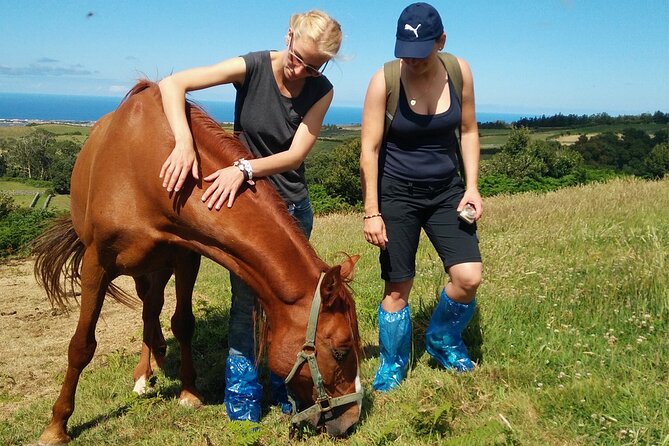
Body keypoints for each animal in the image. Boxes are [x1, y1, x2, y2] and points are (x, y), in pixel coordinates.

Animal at [32, 82, 360, 444]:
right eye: (342, 350)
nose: (351, 420)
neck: (146, 171)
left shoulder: (186, 257)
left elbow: (183, 323)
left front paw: (189, 391)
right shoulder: (96, 264)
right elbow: (81, 345)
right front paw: (57, 425)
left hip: (157, 266)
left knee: (151, 309)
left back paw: (154, 361)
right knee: (147, 309)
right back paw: (143, 375)